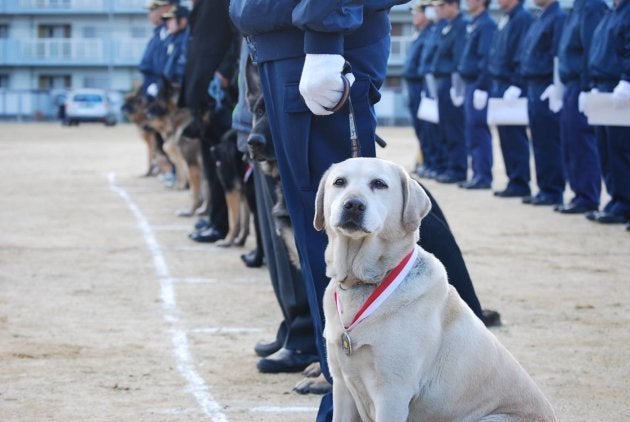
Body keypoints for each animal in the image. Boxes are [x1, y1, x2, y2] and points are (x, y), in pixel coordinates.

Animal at [314, 157, 556, 422]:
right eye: (339, 182)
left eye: (379, 184)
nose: (353, 205)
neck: (366, 281)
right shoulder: (342, 386)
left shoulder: (392, 393)